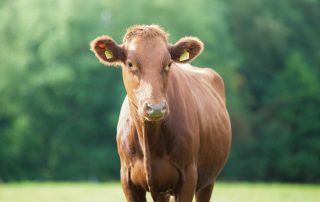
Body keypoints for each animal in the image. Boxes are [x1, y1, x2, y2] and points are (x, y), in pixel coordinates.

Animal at [91, 25, 231, 202]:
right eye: (130, 63)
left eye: (168, 63)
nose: (156, 107)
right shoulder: (128, 181)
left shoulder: (188, 176)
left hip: (208, 180)